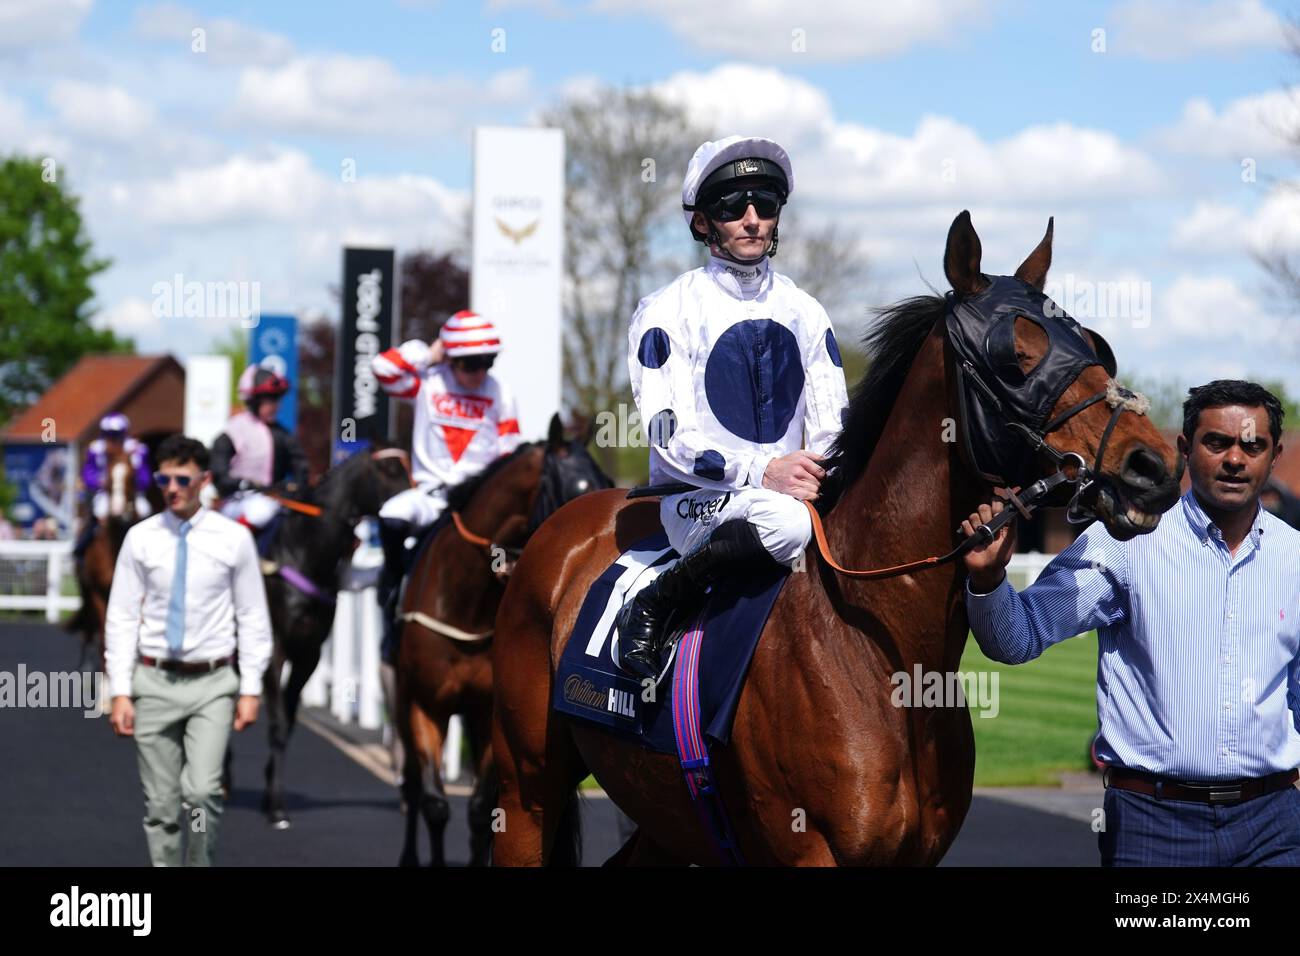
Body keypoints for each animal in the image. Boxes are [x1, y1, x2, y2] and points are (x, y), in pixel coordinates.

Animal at [223, 444, 413, 827]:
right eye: (389, 470)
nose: (417, 507)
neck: (303, 552)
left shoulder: (308, 652)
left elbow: (290, 721)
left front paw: (271, 795)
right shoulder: (275, 649)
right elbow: (278, 723)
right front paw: (276, 806)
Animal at [392, 413, 611, 868]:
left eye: (606, 480)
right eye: (577, 487)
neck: (465, 602)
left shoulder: (489, 712)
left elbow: (480, 811)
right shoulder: (426, 707)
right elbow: (435, 804)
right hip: (401, 700)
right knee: (413, 787)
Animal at [488, 213, 1190, 868]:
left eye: (1094, 345)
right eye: (1014, 356)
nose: (1152, 466)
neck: (885, 653)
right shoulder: (813, 851)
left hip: (666, 810)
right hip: (528, 785)